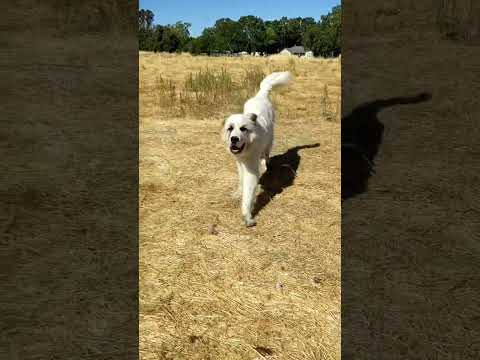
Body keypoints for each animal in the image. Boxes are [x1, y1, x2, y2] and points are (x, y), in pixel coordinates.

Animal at [222, 71, 292, 226]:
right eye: (230, 128)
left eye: (243, 129)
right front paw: (238, 192)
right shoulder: (239, 163)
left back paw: (266, 164)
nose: (234, 139)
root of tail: (261, 95)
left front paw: (247, 215)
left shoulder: (251, 170)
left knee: (266, 154)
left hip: (269, 140)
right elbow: (241, 180)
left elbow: (248, 194)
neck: (248, 146)